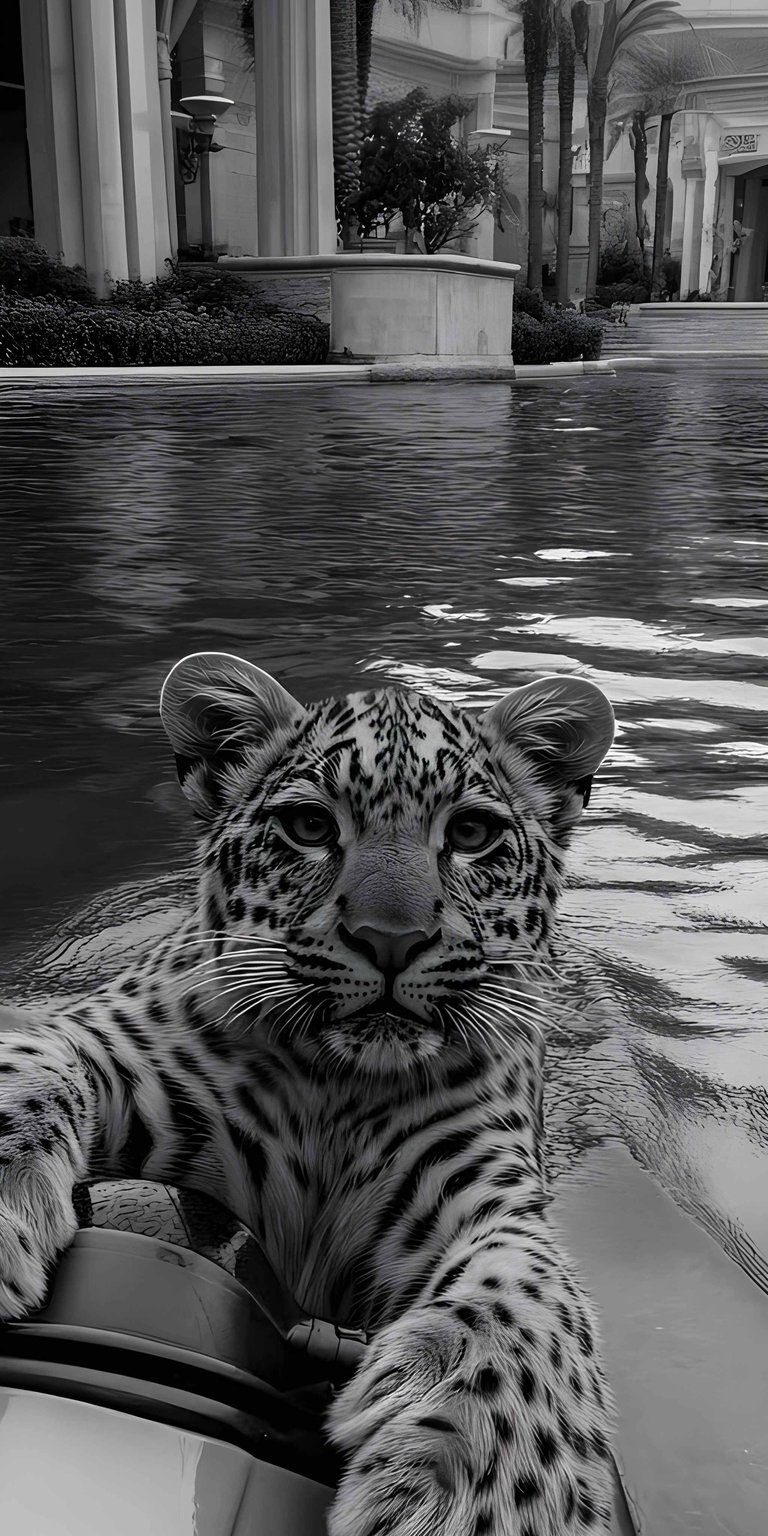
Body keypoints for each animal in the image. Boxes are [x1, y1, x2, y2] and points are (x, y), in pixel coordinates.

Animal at [0, 651, 617, 1536]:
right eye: (310, 827)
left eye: (471, 834)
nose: (391, 939)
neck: (338, 1089)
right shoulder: (107, 1040)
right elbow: (33, 1054)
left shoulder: (481, 1191)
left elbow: (533, 1291)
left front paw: (489, 1487)